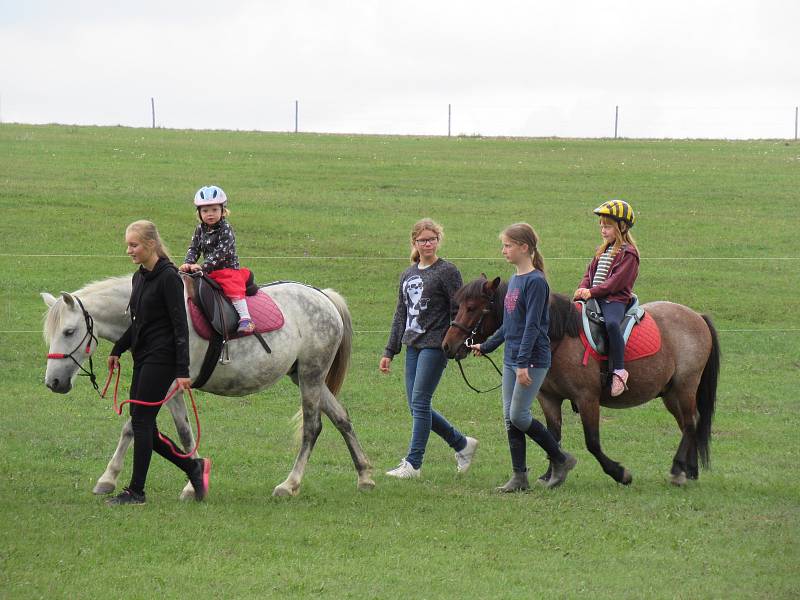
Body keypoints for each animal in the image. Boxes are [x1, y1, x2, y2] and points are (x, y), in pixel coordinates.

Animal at [440, 276, 720, 488]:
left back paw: (677, 469)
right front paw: (550, 474)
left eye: (472, 308)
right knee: (689, 424)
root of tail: (697, 316)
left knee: (690, 424)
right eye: (459, 305)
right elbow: (552, 436)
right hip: (670, 393)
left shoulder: (587, 399)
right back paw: (688, 470)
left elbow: (592, 442)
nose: (447, 345)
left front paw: (619, 473)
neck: (557, 336)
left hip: (684, 387)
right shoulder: (549, 398)